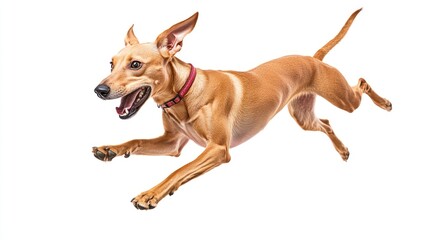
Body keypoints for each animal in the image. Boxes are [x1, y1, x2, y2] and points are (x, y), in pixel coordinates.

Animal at [93, 8, 392, 209]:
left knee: (362, 83)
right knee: (327, 123)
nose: (99, 90)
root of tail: (313, 58)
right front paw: (111, 148)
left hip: (344, 99)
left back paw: (384, 103)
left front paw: (151, 193)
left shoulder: (218, 149)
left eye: (136, 65)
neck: (184, 94)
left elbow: (179, 170)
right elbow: (136, 141)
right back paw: (342, 150)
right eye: (111, 63)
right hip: (303, 116)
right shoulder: (172, 144)